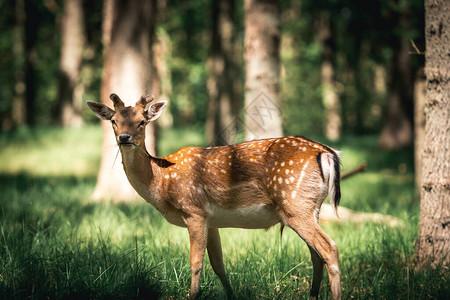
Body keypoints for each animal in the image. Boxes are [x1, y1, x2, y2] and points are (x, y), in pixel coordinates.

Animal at [87, 94, 342, 300]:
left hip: (294, 204)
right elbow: (219, 265)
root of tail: (327, 152)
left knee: (329, 248)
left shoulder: (194, 211)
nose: (124, 138)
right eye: (113, 121)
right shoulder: (212, 221)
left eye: (142, 121)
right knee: (316, 255)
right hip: (309, 208)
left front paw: (192, 295)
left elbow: (196, 263)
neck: (162, 182)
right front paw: (231, 296)